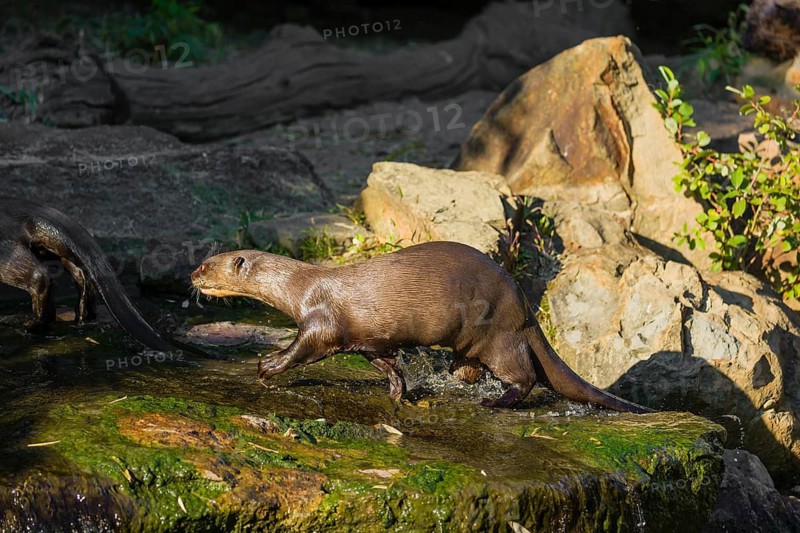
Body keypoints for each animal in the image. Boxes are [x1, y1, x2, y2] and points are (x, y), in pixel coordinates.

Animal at [191, 241, 651, 412]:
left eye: (207, 265)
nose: (193, 276)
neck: (299, 288)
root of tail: (523, 304)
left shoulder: (322, 321)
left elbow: (306, 347)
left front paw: (267, 365)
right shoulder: (365, 339)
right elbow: (384, 360)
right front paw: (398, 389)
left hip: (498, 333)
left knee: (525, 375)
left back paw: (495, 401)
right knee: (470, 367)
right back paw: (460, 375)